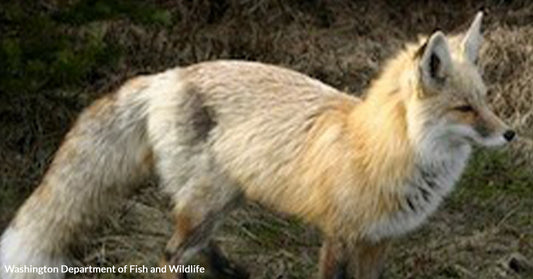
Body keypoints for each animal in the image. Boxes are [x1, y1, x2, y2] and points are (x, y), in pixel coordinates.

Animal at [1, 12, 516, 279]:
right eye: (464, 109)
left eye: (486, 101)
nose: (511, 133)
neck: (381, 151)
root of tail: (167, 75)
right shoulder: (339, 235)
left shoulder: (378, 241)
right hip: (208, 202)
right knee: (169, 255)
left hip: (225, 198)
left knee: (193, 249)